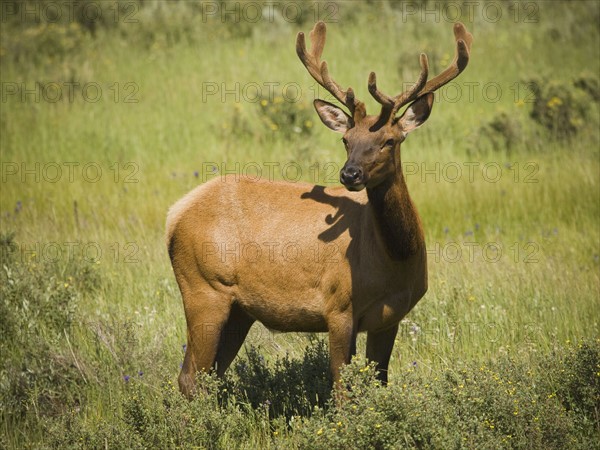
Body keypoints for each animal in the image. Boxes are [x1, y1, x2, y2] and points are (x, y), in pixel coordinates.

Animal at [168, 21, 474, 398]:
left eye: (390, 140)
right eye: (346, 140)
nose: (350, 174)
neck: (395, 260)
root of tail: (175, 213)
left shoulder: (390, 317)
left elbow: (379, 382)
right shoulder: (338, 305)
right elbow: (342, 389)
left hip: (239, 309)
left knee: (210, 374)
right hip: (203, 288)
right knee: (189, 376)